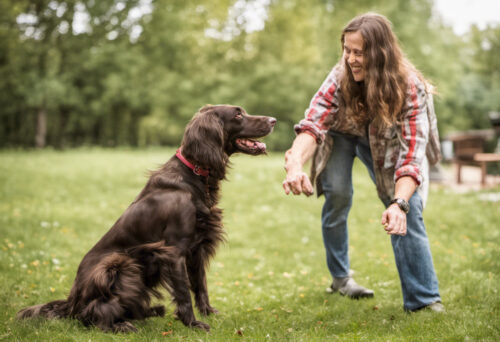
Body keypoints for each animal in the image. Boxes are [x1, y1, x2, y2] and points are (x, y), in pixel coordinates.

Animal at [18, 105, 278, 332]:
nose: (274, 120)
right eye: (238, 114)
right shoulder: (174, 251)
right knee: (92, 315)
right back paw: (120, 326)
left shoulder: (196, 249)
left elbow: (200, 285)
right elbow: (184, 292)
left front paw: (208, 312)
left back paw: (153, 311)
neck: (192, 175)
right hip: (119, 264)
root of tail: (71, 302)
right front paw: (194, 324)